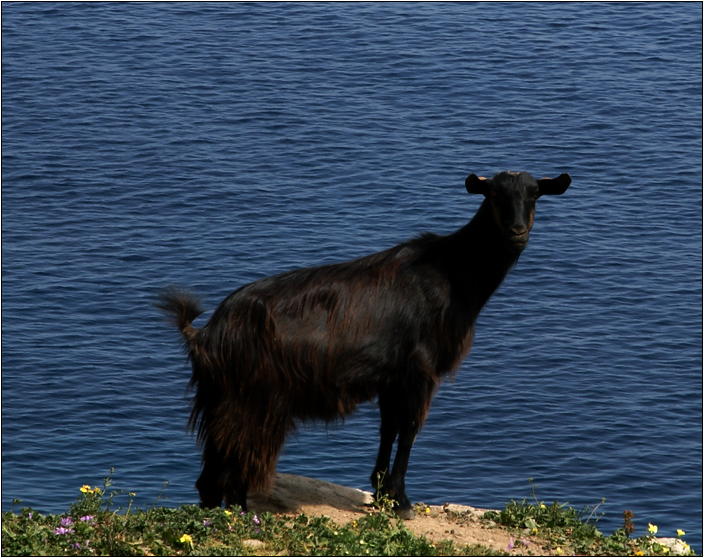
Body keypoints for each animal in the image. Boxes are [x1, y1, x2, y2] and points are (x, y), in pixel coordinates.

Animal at [155, 171, 572, 520]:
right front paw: (401, 501)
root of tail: (205, 333)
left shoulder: (391, 375)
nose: (517, 231)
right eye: (495, 195)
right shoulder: (420, 369)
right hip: (253, 399)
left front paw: (382, 492)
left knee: (213, 472)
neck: (455, 274)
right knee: (235, 462)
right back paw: (242, 516)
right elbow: (409, 429)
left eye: (534, 194)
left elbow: (389, 428)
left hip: (220, 398)